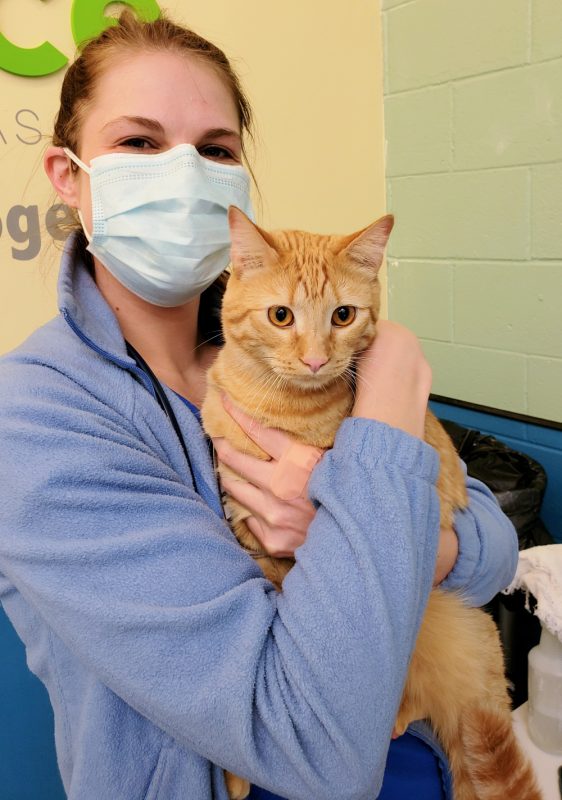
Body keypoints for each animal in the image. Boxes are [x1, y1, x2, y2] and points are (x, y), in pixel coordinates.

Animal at [201, 208, 540, 800]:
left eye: (343, 315)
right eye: (281, 315)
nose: (316, 360)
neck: (277, 405)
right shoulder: (245, 529)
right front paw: (233, 773)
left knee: (406, 696)